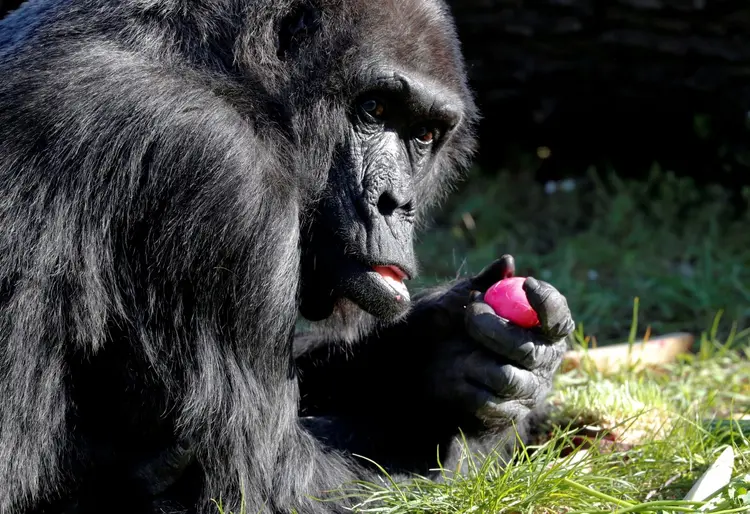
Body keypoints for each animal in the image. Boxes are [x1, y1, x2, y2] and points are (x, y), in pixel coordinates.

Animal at [0, 0, 576, 510]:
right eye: (374, 110)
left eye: (425, 134)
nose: (397, 203)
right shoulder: (221, 178)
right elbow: (269, 485)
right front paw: (475, 436)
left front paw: (446, 357)